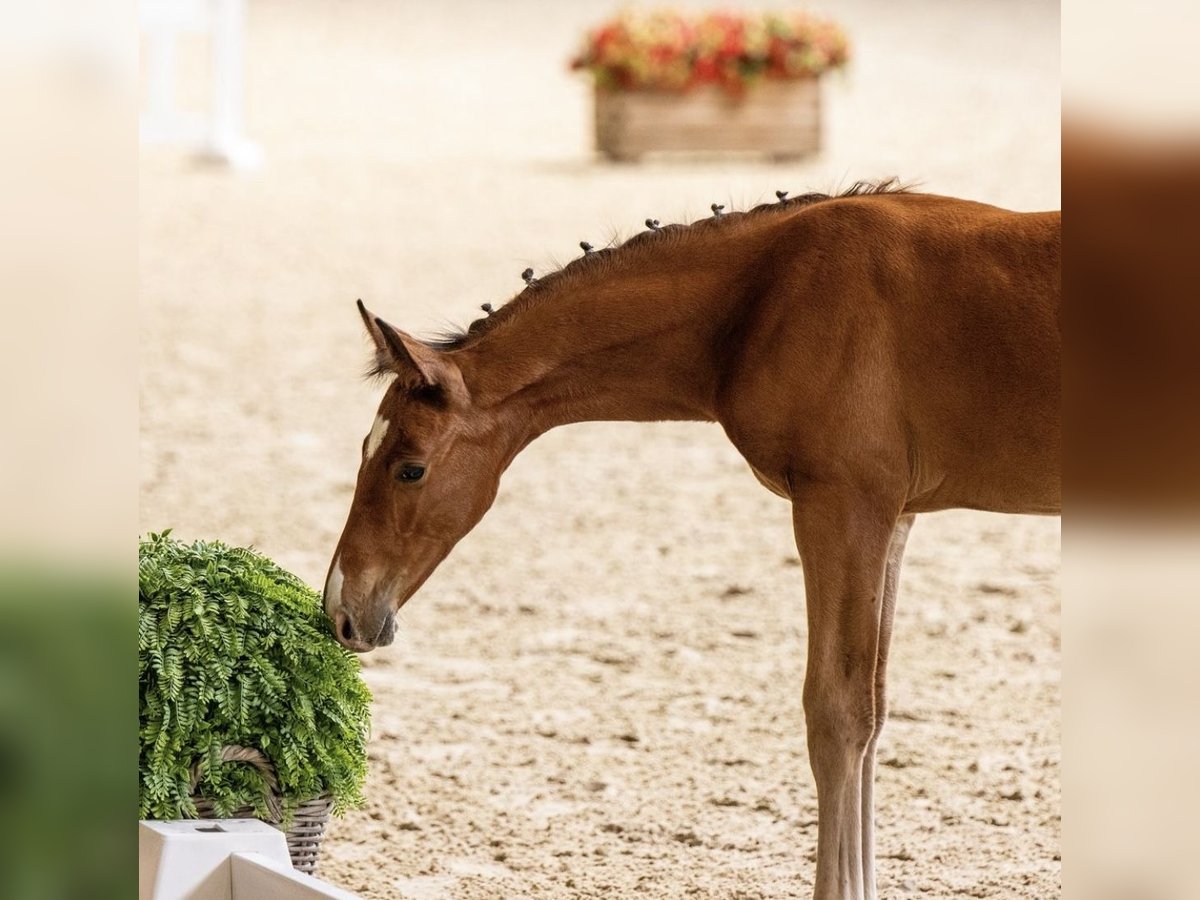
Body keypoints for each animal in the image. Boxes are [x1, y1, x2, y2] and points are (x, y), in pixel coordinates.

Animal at [326, 184, 1060, 900]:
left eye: (409, 467)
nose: (341, 610)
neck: (765, 297)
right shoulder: (896, 518)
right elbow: (874, 712)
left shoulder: (845, 505)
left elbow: (837, 713)